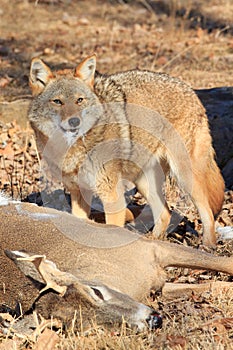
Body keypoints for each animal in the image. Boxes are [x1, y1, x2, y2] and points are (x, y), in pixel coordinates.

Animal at [1, 196, 233, 332]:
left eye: (96, 291)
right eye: (94, 329)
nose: (153, 320)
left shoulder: (150, 247)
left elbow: (225, 263)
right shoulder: (158, 284)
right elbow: (214, 285)